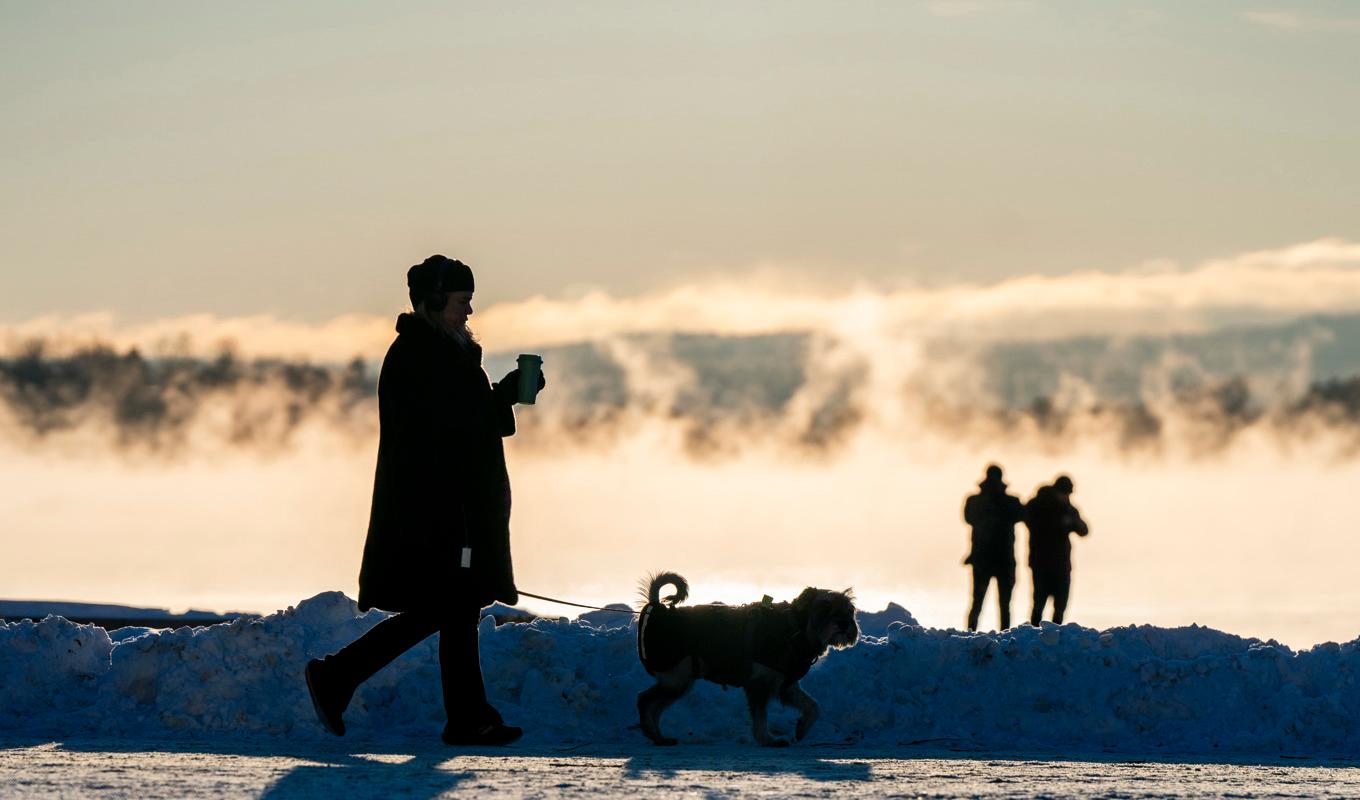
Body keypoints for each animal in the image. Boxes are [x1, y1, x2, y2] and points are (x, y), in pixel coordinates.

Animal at [633, 571, 848, 745]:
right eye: (823, 608)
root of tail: (658, 607)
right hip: (677, 679)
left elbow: (813, 707)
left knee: (655, 707)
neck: (794, 629)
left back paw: (659, 737)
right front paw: (768, 740)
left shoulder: (785, 686)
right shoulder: (758, 685)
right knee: (645, 700)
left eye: (848, 610)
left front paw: (802, 729)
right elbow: (760, 718)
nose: (843, 626)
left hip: (679, 682)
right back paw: (653, 733)